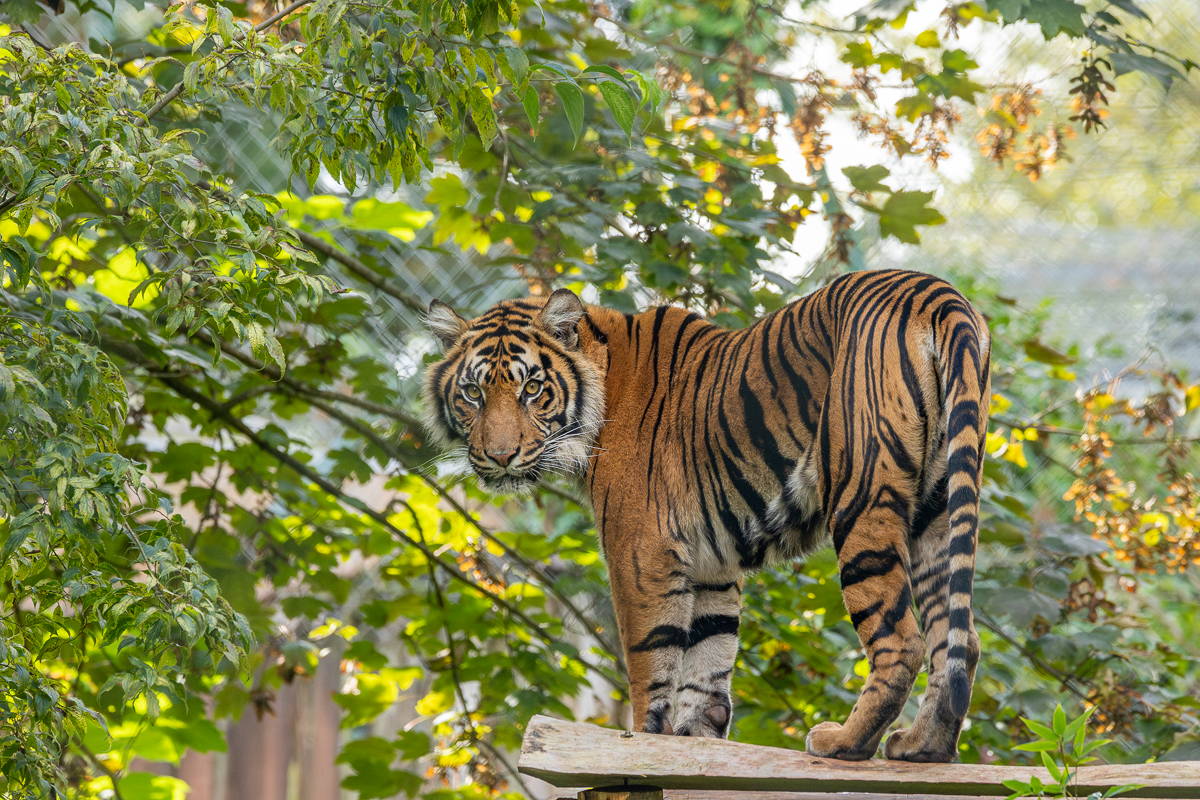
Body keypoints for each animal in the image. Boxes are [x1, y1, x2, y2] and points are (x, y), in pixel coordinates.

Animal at [421, 268, 991, 762]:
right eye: (472, 393)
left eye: (532, 390)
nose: (498, 457)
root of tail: (935, 292)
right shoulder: (711, 563)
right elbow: (708, 659)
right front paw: (697, 737)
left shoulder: (641, 552)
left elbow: (650, 661)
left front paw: (643, 740)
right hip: (938, 510)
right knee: (958, 639)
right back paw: (923, 747)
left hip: (861, 497)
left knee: (903, 640)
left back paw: (844, 742)